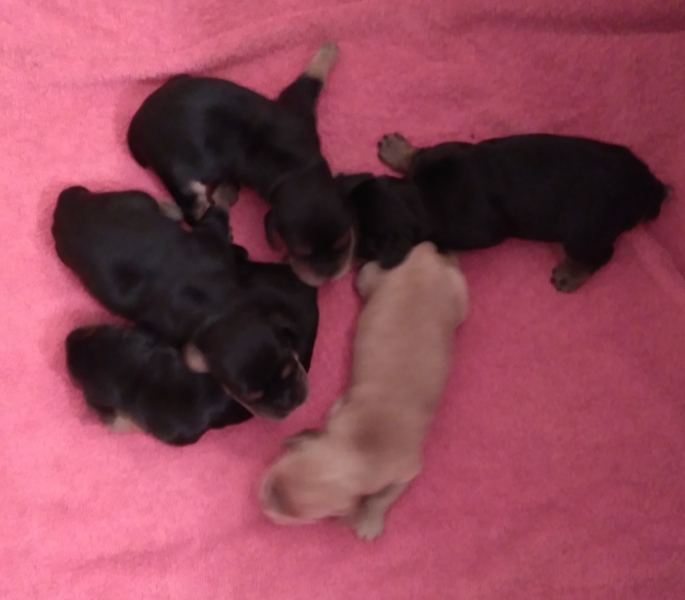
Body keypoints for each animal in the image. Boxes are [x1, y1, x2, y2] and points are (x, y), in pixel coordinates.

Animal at [52, 186, 318, 420]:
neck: (221, 307)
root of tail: (67, 205)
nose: (292, 404)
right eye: (249, 396)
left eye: (290, 367)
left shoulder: (212, 240)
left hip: (133, 198)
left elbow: (218, 212)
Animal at [127, 42, 355, 287]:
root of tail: (135, 129)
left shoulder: (298, 110)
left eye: (345, 241)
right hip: (181, 176)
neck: (298, 168)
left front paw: (329, 49)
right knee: (195, 213)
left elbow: (311, 78)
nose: (329, 276)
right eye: (300, 252)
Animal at [260, 242, 468, 540]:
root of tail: (422, 256)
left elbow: (383, 496)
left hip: (457, 300)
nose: (261, 499)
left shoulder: (407, 469)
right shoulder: (339, 413)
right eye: (272, 477)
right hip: (374, 278)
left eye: (293, 519)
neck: (354, 454)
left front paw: (370, 519)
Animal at [339, 133, 669, 292]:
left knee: (602, 255)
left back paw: (570, 274)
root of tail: (649, 187)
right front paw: (396, 149)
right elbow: (416, 154)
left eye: (362, 247)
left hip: (585, 235)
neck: (420, 196)